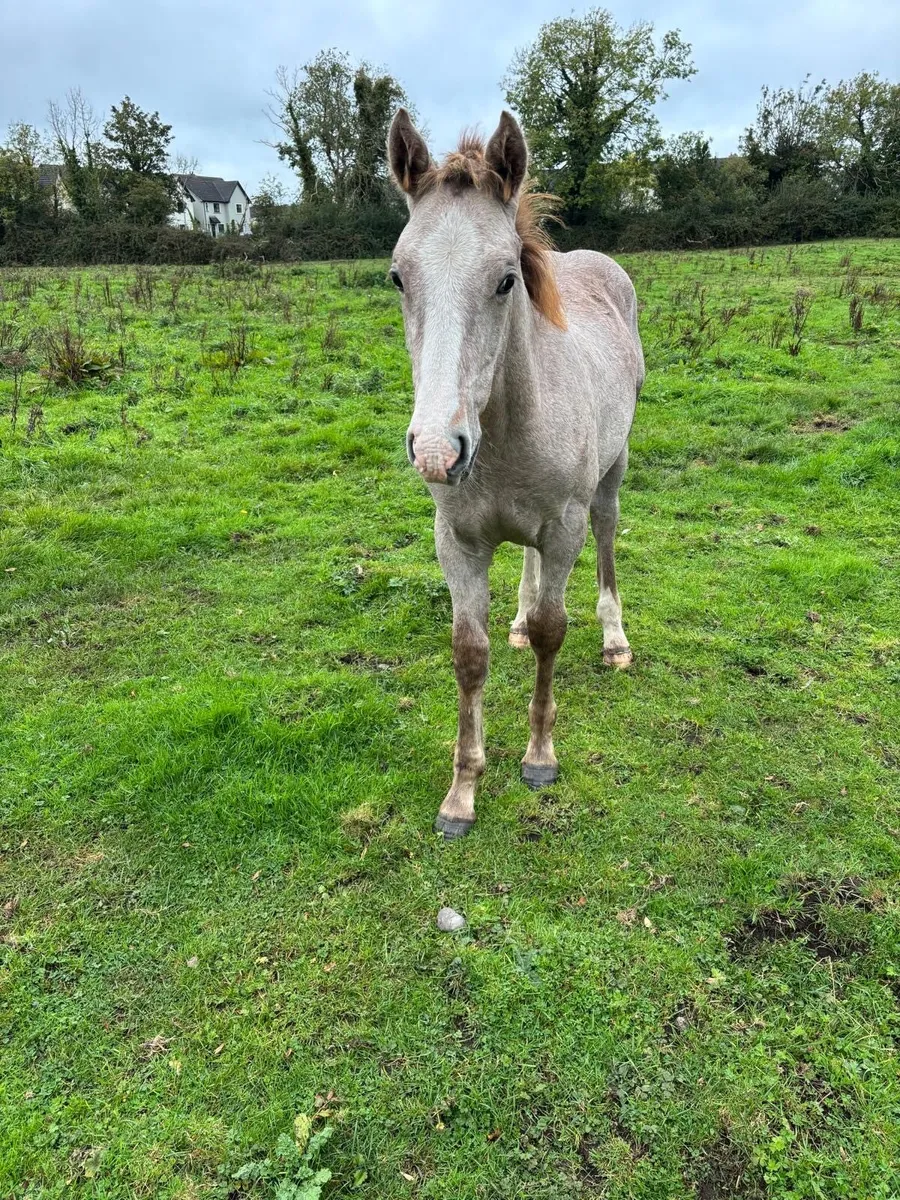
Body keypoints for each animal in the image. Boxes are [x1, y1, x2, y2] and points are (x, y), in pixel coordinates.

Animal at [387, 108, 644, 839]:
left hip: (610, 475)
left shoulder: (562, 529)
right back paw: (520, 620)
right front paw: (461, 793)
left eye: (507, 280)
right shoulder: (458, 541)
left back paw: (614, 640)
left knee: (608, 534)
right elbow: (469, 654)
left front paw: (539, 758)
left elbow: (556, 633)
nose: (436, 451)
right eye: (398, 277)